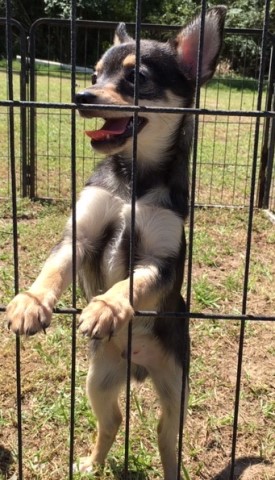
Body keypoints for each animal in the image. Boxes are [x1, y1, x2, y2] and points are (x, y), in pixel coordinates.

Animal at [5, 8, 226, 480]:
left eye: (135, 78)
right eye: (94, 74)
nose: (80, 95)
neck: (133, 182)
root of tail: (137, 368)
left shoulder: (162, 260)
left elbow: (133, 283)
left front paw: (106, 308)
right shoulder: (80, 235)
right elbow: (53, 268)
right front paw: (31, 302)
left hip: (175, 385)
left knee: (166, 436)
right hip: (98, 382)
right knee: (114, 421)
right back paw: (90, 464)